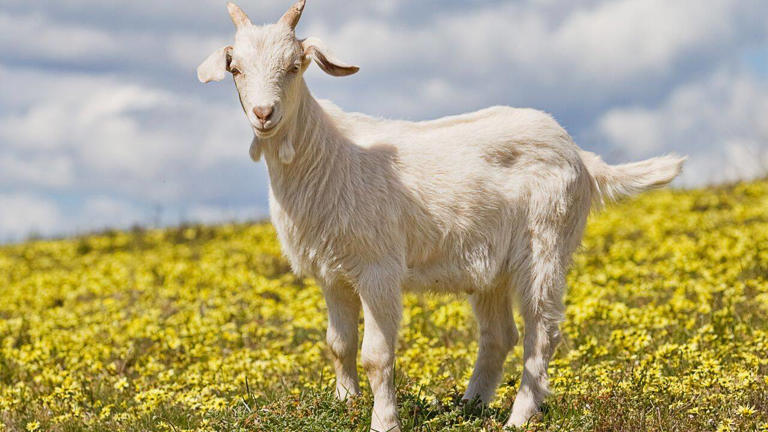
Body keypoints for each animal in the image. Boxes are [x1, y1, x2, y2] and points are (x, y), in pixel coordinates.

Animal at [197, 2, 685, 430]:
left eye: (295, 66)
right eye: (236, 69)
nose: (264, 114)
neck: (329, 154)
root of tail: (581, 156)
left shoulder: (378, 269)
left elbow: (376, 355)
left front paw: (384, 422)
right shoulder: (331, 274)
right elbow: (339, 345)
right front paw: (346, 405)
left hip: (546, 243)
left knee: (542, 332)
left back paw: (518, 417)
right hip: (492, 268)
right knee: (498, 335)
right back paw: (468, 407)